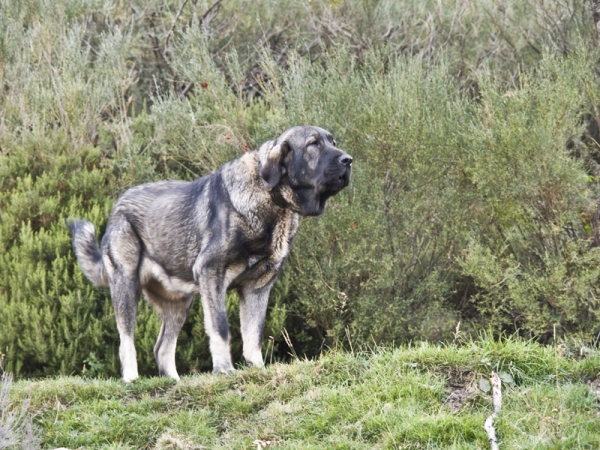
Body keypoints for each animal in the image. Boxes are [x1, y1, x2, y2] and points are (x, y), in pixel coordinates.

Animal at [68, 125, 352, 382]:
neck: (272, 201)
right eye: (314, 144)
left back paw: (174, 382)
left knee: (162, 348)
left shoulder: (258, 287)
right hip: (126, 285)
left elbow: (253, 334)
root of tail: (118, 205)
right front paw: (224, 370)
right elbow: (221, 328)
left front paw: (257, 369)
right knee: (126, 340)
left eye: (333, 141)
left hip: (179, 302)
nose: (348, 160)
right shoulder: (211, 273)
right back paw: (132, 379)